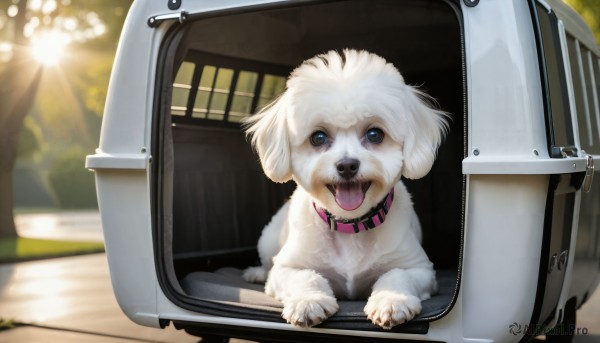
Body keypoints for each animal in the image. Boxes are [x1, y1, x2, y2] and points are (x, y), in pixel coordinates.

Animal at [243, 49, 446, 330]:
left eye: (375, 134)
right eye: (318, 137)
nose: (347, 165)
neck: (350, 227)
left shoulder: (419, 268)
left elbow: (397, 275)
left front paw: (392, 300)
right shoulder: (286, 268)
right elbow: (305, 276)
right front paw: (309, 301)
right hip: (268, 240)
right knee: (267, 264)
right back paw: (255, 273)